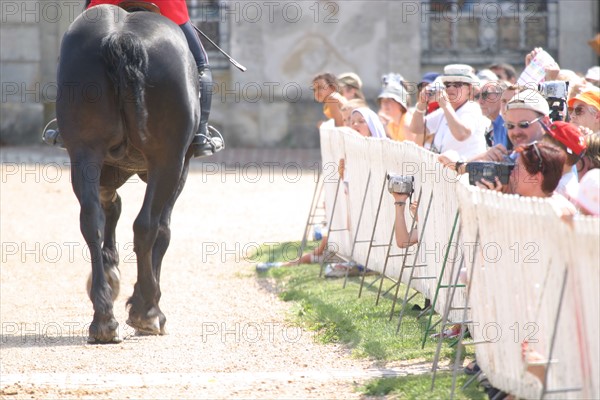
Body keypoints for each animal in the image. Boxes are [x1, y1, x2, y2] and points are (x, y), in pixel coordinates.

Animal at [55, 3, 199, 342]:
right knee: (146, 225)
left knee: (90, 220)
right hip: (168, 161)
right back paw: (148, 312)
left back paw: (103, 318)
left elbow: (108, 210)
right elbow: (162, 229)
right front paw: (145, 304)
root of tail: (120, 37)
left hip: (84, 153)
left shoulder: (103, 168)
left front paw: (110, 272)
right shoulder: (180, 166)